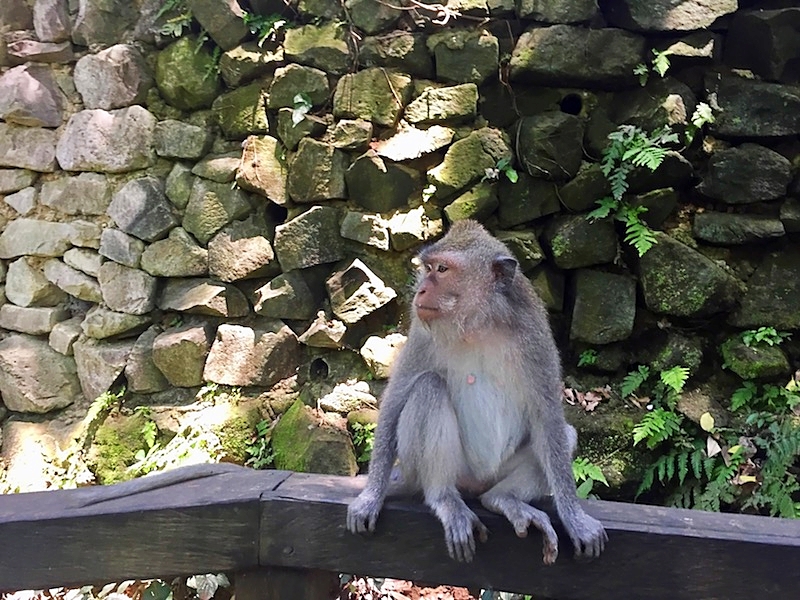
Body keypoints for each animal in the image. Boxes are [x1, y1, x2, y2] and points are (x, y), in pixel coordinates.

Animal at [346, 219, 608, 564]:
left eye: (442, 269)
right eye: (427, 267)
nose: (421, 289)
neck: (478, 323)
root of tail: (474, 484)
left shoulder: (534, 335)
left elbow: (548, 416)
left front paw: (574, 518)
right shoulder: (421, 332)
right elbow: (396, 400)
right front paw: (370, 496)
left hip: (495, 473)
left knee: (564, 435)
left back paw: (502, 498)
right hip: (435, 470)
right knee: (428, 389)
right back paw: (445, 498)